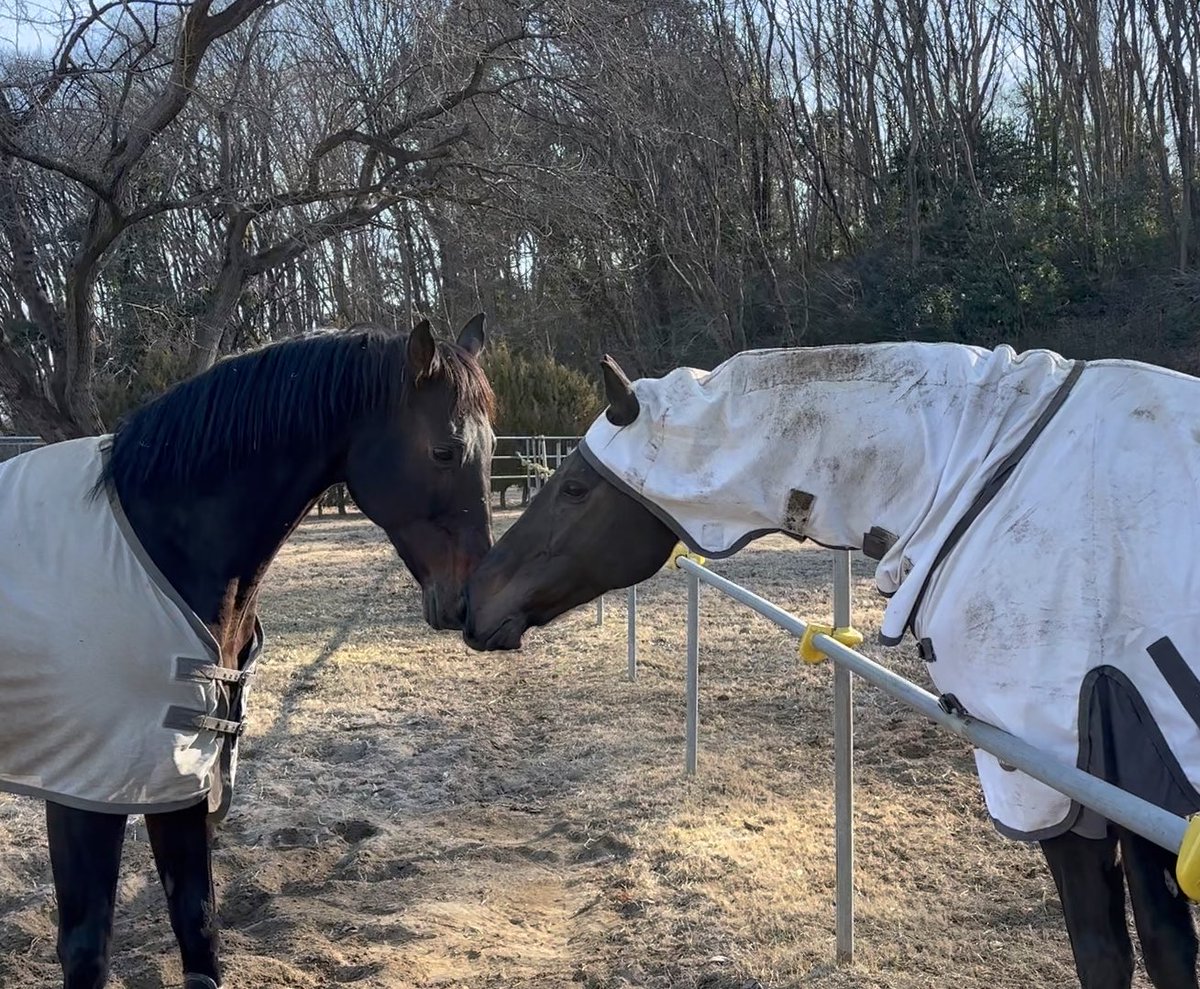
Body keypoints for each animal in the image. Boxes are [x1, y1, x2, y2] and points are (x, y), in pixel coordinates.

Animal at [0, 315, 494, 989]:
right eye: (444, 451)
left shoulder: (174, 772)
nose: (471, 601)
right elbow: (87, 946)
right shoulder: (87, 787)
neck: (156, 544)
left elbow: (198, 924)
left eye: (492, 451)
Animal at [462, 342, 1200, 989]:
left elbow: (1127, 951)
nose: (471, 601)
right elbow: (1136, 949)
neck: (987, 478)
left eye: (575, 487)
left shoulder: (1082, 776)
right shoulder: (1099, 795)